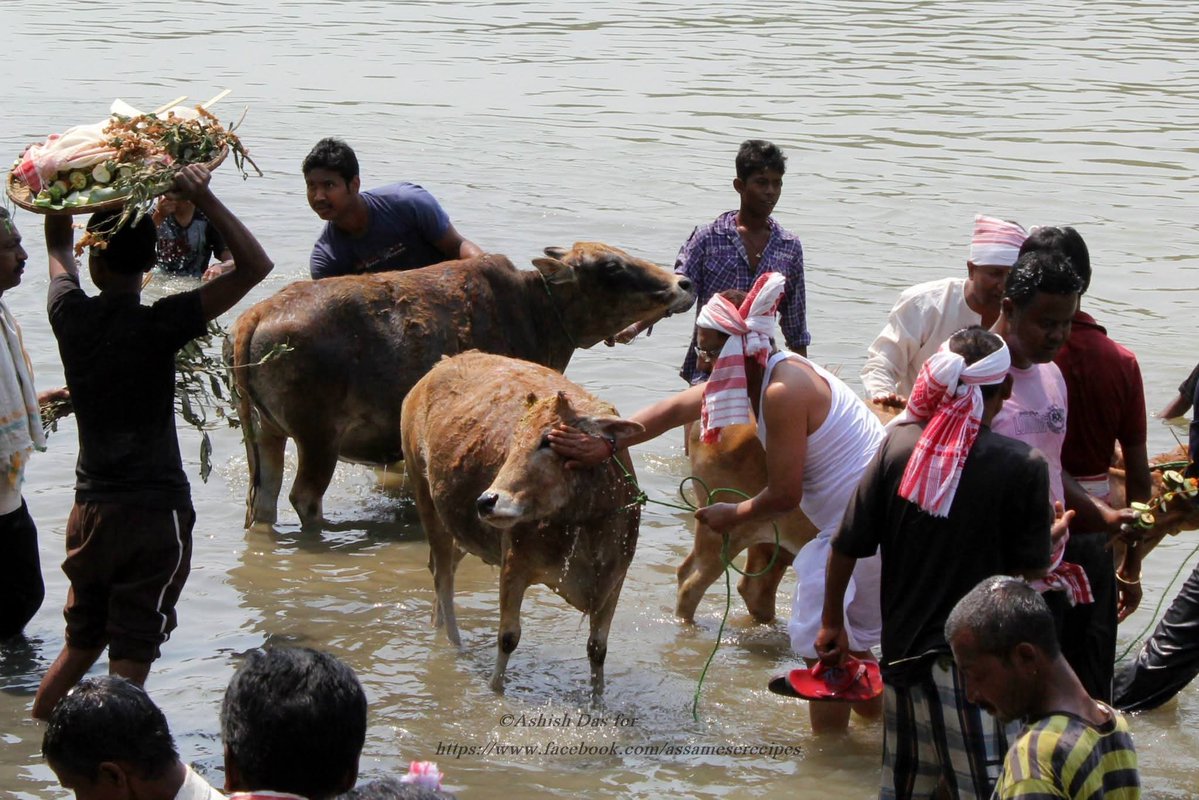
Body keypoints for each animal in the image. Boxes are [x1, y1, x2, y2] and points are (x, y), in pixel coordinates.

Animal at [227, 243, 694, 528]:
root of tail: (257, 314)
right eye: (611, 267)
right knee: (303, 497)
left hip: (266, 433)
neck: (538, 312)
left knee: (264, 496)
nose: (683, 284)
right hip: (317, 438)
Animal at [400, 351, 643, 696]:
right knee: (443, 577)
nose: (487, 501)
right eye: (514, 440)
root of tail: (441, 365)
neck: (584, 525)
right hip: (426, 501)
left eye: (548, 440)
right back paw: (455, 644)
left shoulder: (614, 578)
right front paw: (495, 690)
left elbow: (597, 649)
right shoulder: (514, 565)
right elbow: (508, 638)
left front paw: (598, 700)